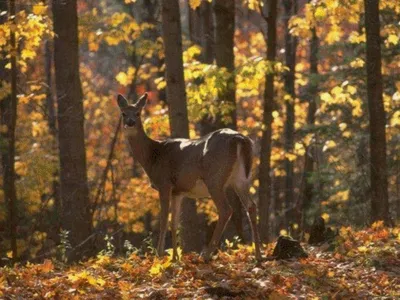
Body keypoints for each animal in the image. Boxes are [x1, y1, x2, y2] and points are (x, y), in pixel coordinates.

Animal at [115, 92, 262, 262]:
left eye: (138, 113)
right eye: (123, 113)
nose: (130, 123)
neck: (153, 156)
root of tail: (240, 139)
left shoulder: (164, 184)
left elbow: (164, 221)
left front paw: (159, 255)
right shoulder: (178, 192)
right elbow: (175, 223)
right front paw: (174, 258)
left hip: (215, 178)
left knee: (226, 209)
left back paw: (206, 255)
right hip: (241, 178)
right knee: (251, 206)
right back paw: (258, 255)